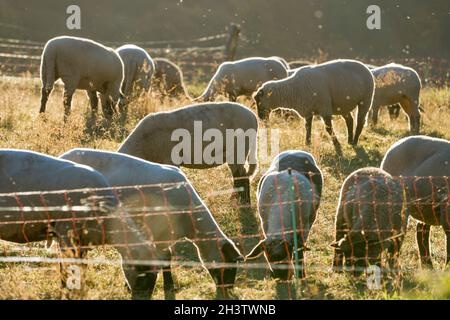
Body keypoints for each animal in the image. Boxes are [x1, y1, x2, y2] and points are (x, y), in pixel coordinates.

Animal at [0, 149, 160, 298]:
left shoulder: (82, 241)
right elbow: (67, 268)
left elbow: (80, 268)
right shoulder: (66, 234)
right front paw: (68, 291)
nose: (143, 297)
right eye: (142, 270)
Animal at [60, 148, 244, 300]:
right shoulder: (155, 232)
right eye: (229, 267)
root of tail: (64, 155)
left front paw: (168, 286)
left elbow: (166, 258)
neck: (191, 221)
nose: (227, 292)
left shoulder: (166, 235)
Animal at [246, 152, 324, 296]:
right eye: (267, 255)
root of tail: (296, 151)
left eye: (288, 252)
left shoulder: (304, 228)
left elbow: (300, 251)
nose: (281, 276)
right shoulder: (264, 224)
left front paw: (301, 275)